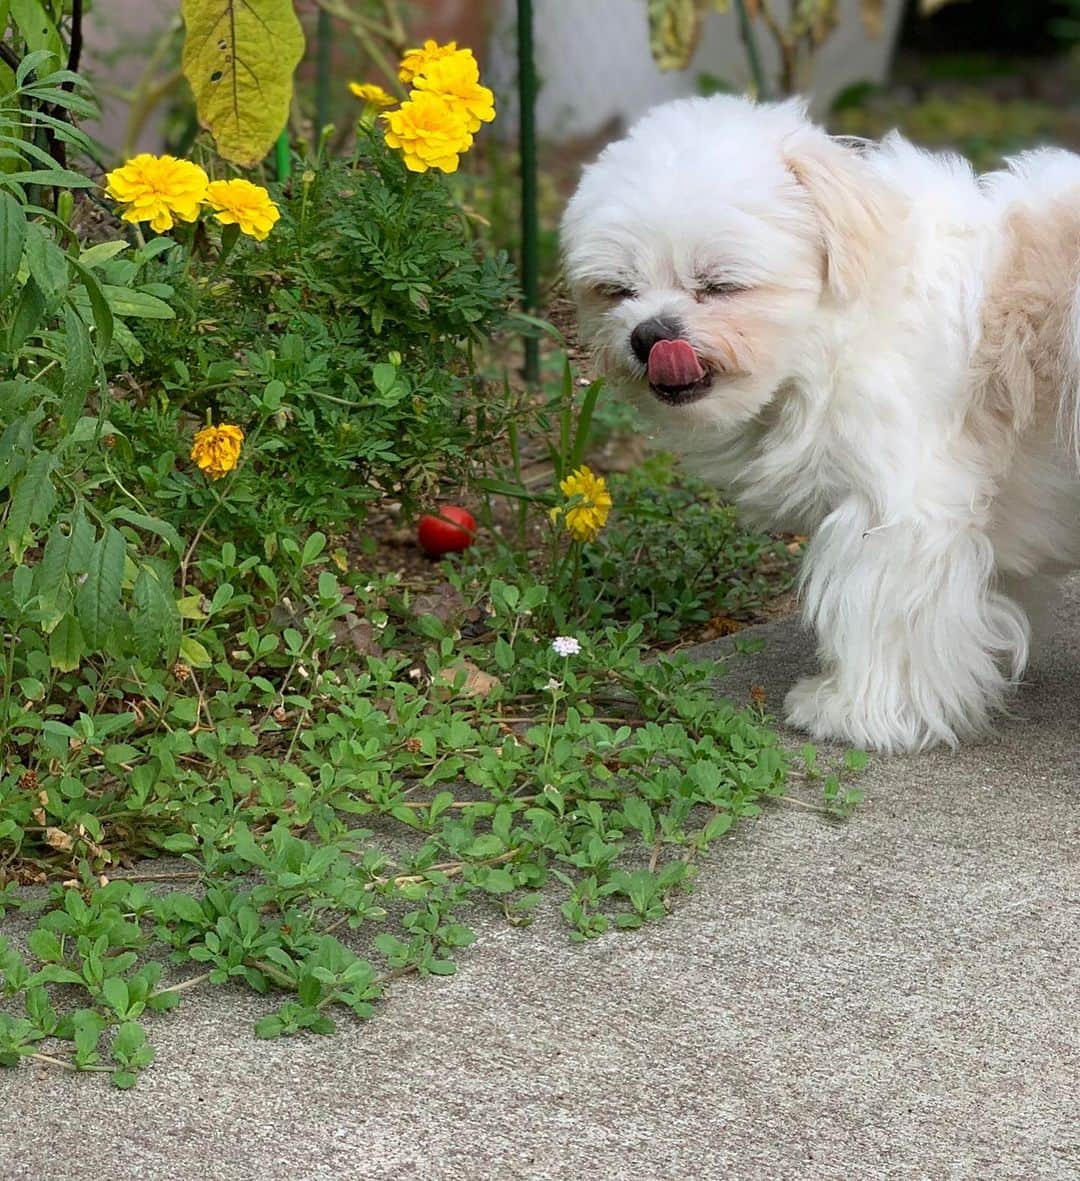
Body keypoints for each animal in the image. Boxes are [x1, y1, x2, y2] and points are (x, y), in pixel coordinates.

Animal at [560, 96, 1077, 751]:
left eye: (719, 284)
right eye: (616, 290)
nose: (650, 335)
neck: (843, 322)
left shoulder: (901, 511)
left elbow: (881, 608)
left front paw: (858, 713)